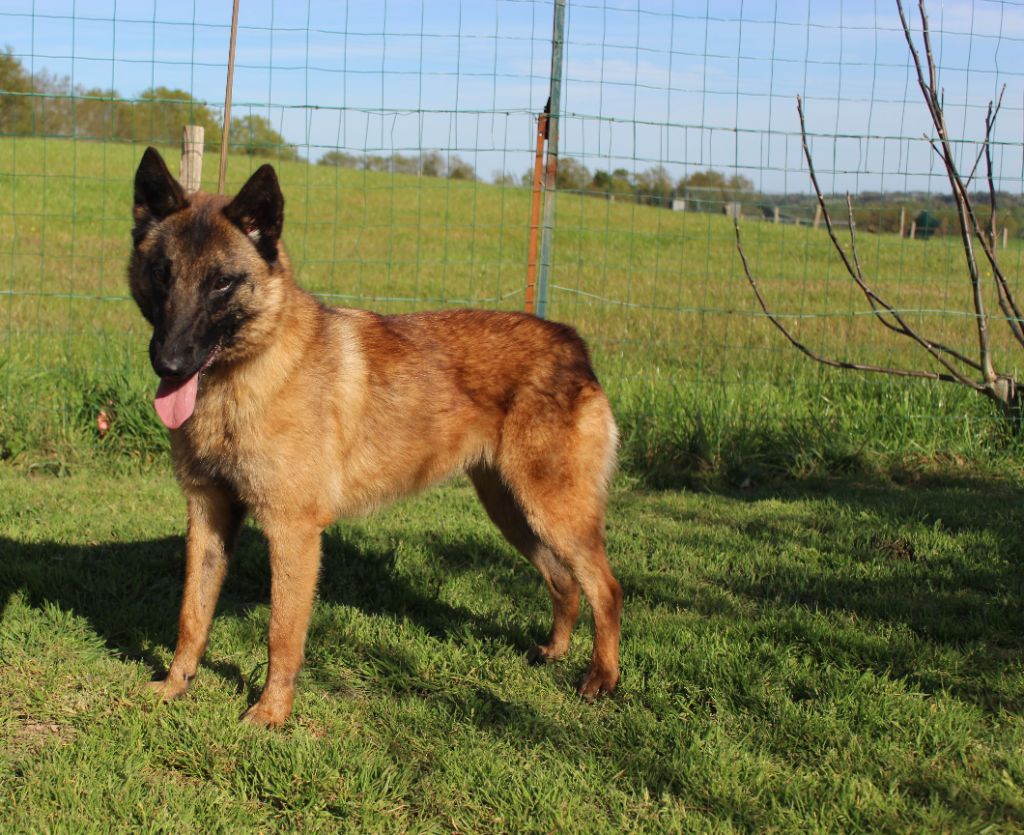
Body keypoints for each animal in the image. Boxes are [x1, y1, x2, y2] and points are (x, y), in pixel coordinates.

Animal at [129, 148, 622, 725]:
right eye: (163, 274)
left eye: (221, 283)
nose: (169, 363)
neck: (244, 375)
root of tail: (571, 342)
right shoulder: (209, 515)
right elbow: (191, 615)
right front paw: (174, 685)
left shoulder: (292, 533)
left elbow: (282, 635)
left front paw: (270, 714)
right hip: (514, 511)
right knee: (564, 582)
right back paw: (554, 652)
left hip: (554, 512)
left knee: (606, 589)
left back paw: (601, 678)